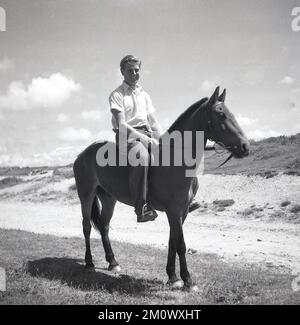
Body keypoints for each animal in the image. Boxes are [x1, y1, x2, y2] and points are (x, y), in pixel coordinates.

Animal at [74, 86, 250, 292]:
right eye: (221, 115)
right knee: (86, 227)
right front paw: (188, 281)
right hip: (86, 195)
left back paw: (113, 262)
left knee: (104, 227)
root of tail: (82, 154)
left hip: (109, 199)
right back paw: (89, 263)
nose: (245, 146)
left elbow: (172, 242)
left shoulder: (182, 212)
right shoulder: (173, 211)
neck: (176, 161)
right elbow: (181, 244)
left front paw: (173, 277)